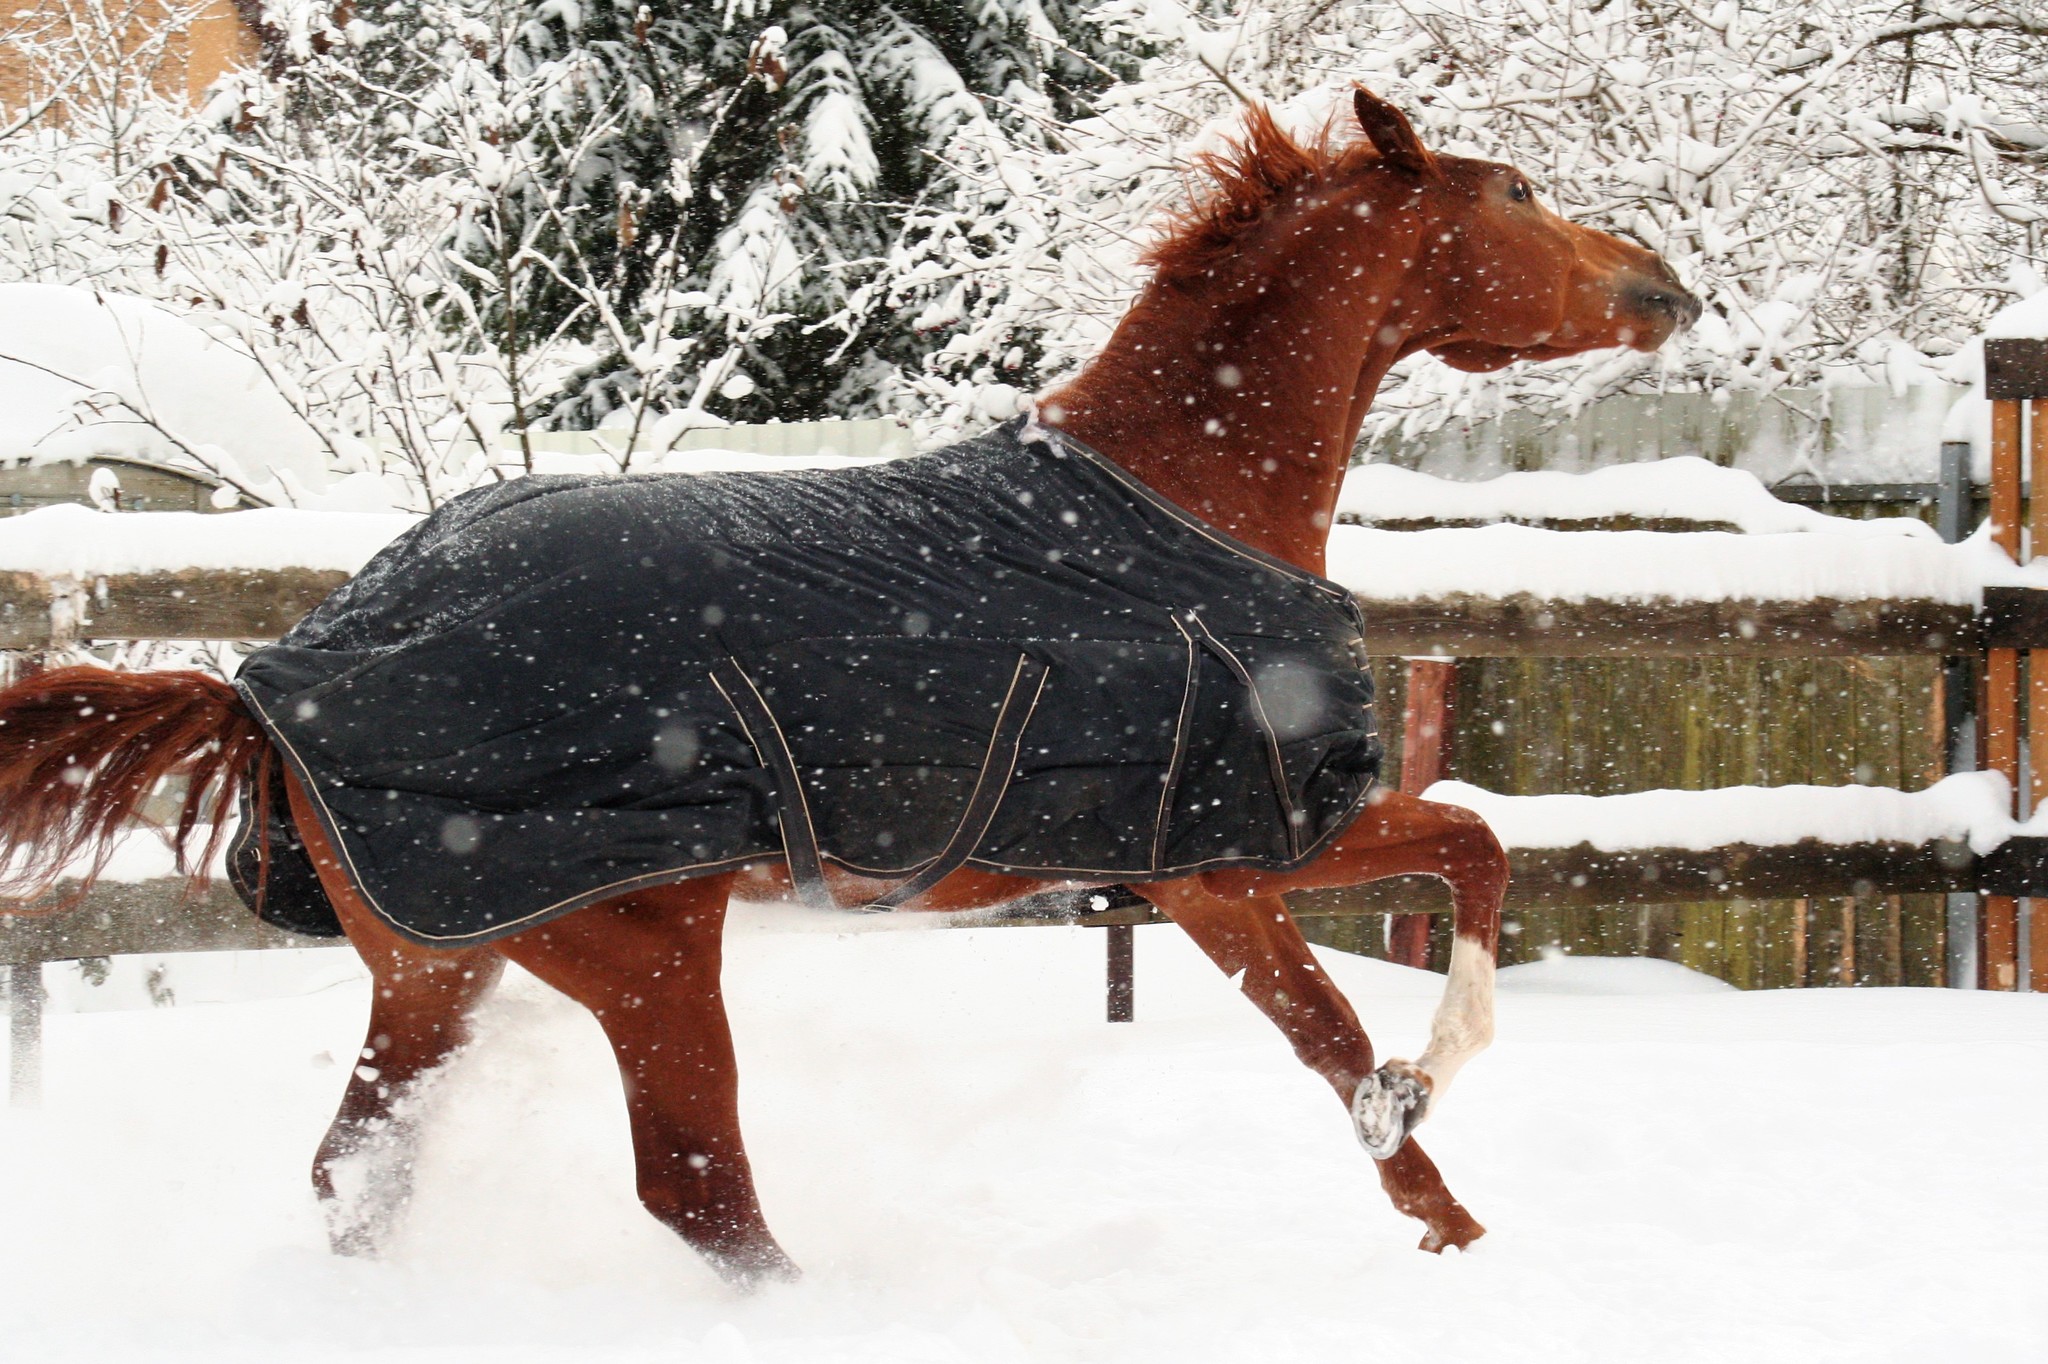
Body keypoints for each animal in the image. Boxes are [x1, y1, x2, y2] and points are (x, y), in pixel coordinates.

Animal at [0, 90, 1695, 1277]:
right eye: (1519, 192)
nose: (1667, 284)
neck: (1180, 499)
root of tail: (274, 681)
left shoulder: (1224, 856)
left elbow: (1438, 895)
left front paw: (1448, 1220)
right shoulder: (1226, 855)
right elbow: (1389, 959)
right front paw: (1424, 1105)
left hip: (441, 964)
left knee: (358, 1172)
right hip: (642, 956)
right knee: (698, 1194)